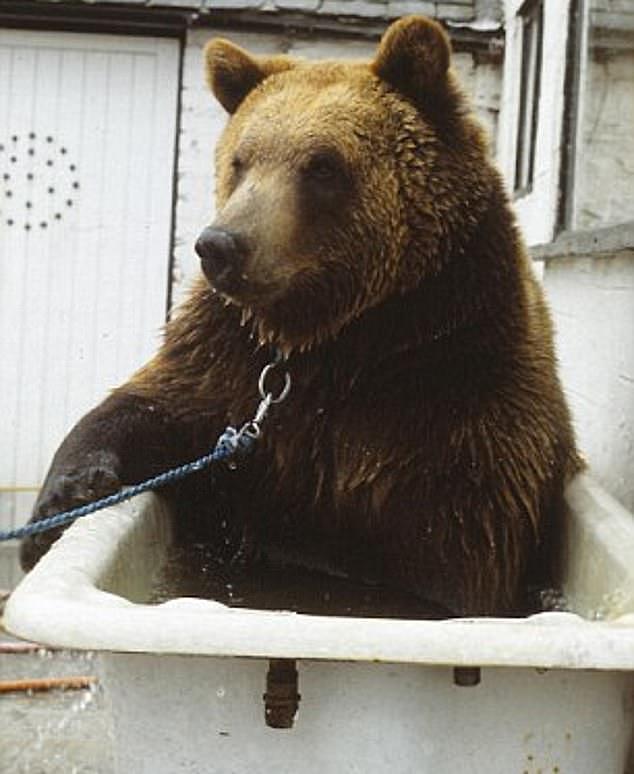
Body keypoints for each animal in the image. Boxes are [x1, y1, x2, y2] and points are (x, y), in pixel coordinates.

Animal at [20, 15, 580, 616]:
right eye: (240, 160)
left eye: (323, 165)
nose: (220, 245)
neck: (337, 336)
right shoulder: (228, 360)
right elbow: (146, 406)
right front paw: (63, 503)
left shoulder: (455, 392)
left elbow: (439, 551)